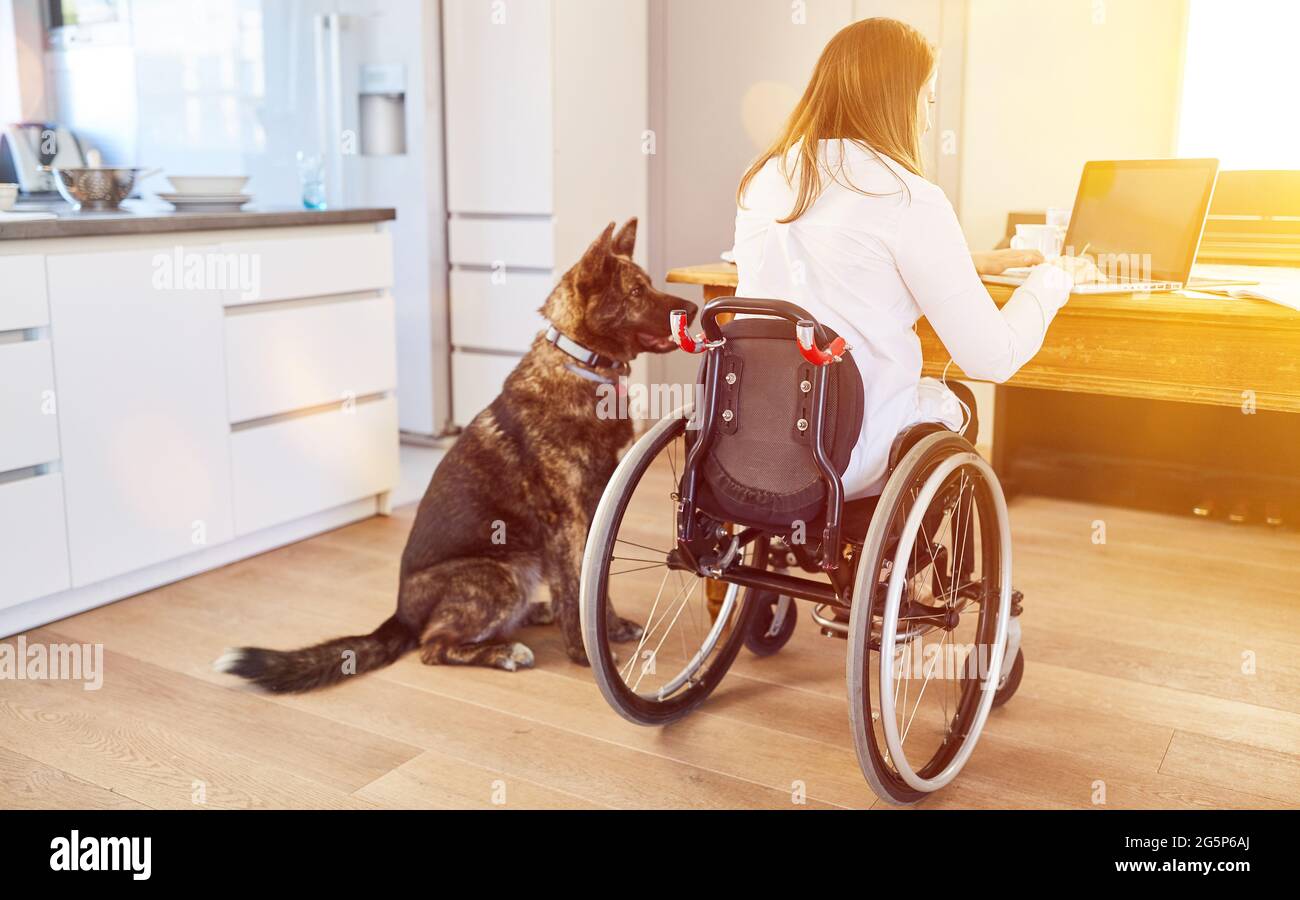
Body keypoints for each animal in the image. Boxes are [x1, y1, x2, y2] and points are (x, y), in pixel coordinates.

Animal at [218, 219, 696, 697]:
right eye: (636, 291)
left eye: (649, 284)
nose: (692, 306)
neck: (581, 364)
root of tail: (401, 614)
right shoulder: (568, 522)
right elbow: (576, 585)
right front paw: (584, 652)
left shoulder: (596, 514)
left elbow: (593, 589)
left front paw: (608, 628)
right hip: (497, 573)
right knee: (434, 645)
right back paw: (504, 652)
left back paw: (535, 614)